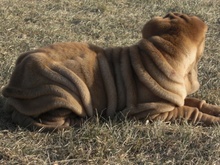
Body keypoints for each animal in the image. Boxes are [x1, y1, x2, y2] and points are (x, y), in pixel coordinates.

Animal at [2, 12, 220, 130]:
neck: (164, 51)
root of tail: (13, 86)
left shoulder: (177, 100)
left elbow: (198, 102)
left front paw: (215, 109)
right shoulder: (153, 113)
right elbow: (191, 111)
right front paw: (212, 120)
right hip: (63, 90)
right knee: (53, 119)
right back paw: (79, 121)